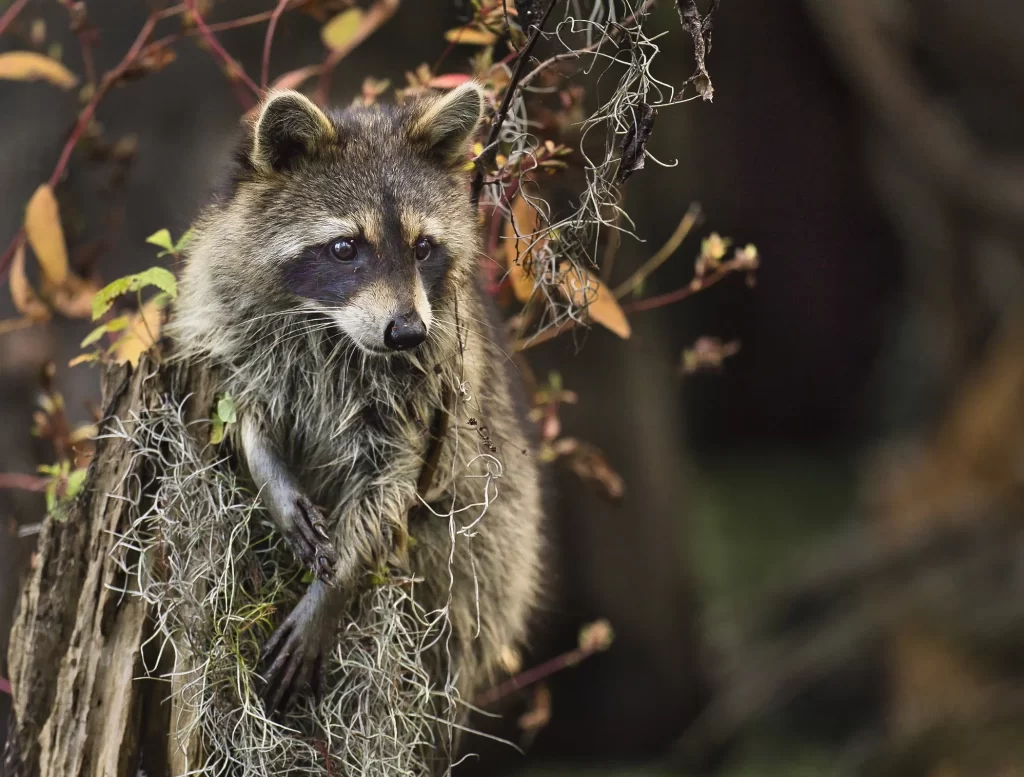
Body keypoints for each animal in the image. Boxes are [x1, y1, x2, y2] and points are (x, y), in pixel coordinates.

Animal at [168, 82, 543, 732]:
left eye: (423, 248)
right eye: (345, 248)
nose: (407, 332)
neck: (333, 330)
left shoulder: (425, 391)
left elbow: (392, 482)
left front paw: (335, 587)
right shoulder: (233, 332)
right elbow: (247, 413)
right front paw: (271, 475)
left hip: (493, 547)